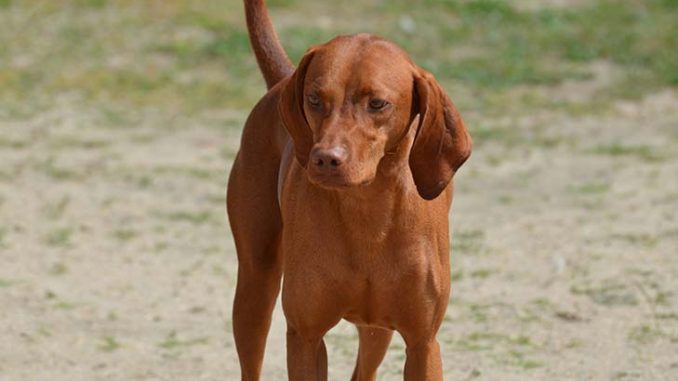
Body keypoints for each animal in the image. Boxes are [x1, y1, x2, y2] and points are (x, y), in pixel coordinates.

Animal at [228, 1, 472, 378]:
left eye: (377, 103)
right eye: (314, 98)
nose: (326, 158)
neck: (367, 211)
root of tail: (283, 77)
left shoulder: (423, 343)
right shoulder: (305, 336)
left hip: (377, 329)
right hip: (255, 287)